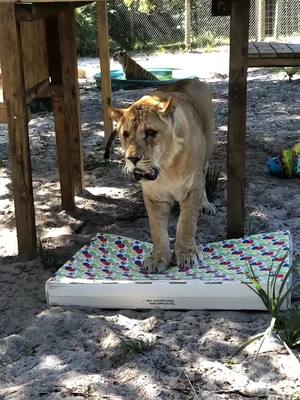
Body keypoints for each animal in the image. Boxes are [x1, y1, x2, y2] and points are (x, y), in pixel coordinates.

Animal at [109, 78, 214, 272]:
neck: (166, 169)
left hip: (207, 150)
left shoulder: (192, 188)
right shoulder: (154, 197)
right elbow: (157, 229)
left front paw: (187, 254)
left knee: (204, 176)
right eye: (125, 134)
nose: (132, 159)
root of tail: (192, 79)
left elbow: (186, 223)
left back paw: (206, 204)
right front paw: (158, 259)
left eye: (151, 132)